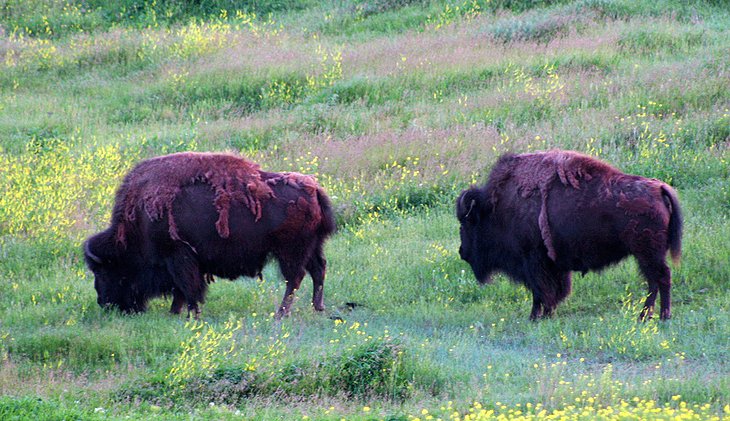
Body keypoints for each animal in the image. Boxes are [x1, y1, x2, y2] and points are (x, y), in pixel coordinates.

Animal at [84, 151, 334, 318]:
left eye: (104, 271)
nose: (103, 303)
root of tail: (314, 189)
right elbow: (181, 289)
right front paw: (176, 312)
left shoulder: (178, 257)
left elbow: (188, 288)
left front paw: (191, 315)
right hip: (312, 247)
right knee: (318, 269)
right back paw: (317, 307)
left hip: (290, 252)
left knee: (295, 277)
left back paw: (281, 314)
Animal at [458, 149, 680, 320]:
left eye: (466, 223)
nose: (462, 252)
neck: (497, 208)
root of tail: (659, 188)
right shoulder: (552, 265)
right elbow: (552, 290)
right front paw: (546, 315)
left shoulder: (533, 261)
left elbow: (540, 291)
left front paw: (535, 317)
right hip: (647, 255)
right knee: (654, 281)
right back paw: (647, 316)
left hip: (648, 254)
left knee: (661, 278)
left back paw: (660, 316)